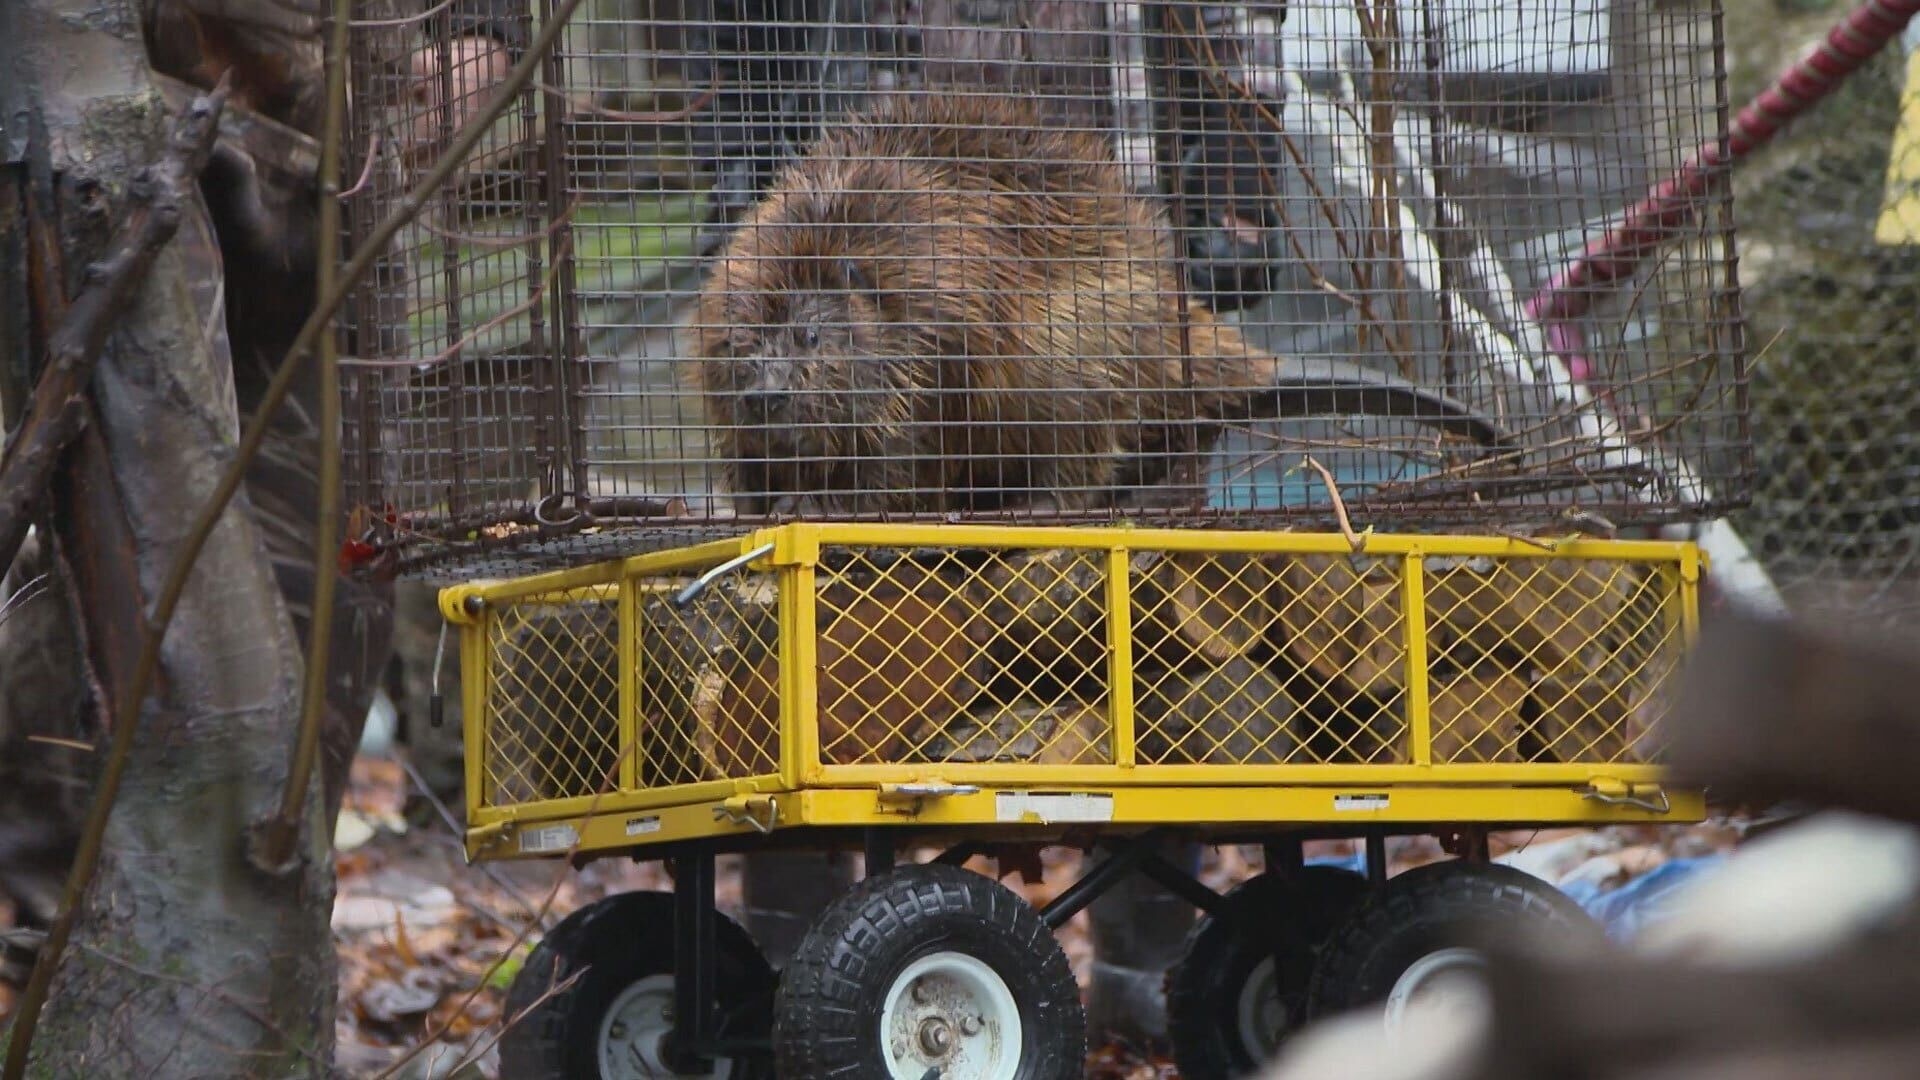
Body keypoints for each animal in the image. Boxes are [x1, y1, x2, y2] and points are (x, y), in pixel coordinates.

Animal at [695, 90, 1497, 515]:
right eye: (742, 346)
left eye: (810, 339)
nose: (766, 395)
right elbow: (747, 462)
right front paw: (768, 502)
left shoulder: (946, 332)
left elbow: (901, 451)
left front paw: (819, 504)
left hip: (1078, 358)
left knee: (1079, 454)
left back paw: (1031, 505)